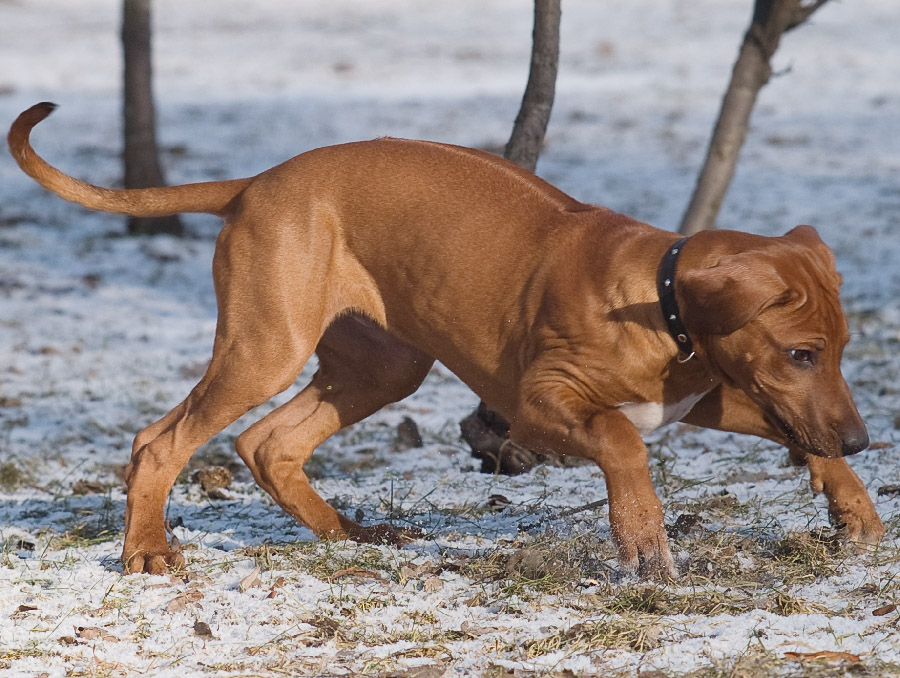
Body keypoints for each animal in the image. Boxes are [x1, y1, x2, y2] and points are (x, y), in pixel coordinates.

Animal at [7, 103, 884, 576]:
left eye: (837, 352)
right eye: (800, 352)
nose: (861, 439)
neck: (661, 295)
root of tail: (255, 183)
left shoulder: (701, 396)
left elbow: (786, 427)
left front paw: (850, 504)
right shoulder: (540, 405)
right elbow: (621, 443)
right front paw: (642, 540)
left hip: (382, 365)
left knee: (268, 443)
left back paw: (354, 534)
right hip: (267, 347)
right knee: (161, 440)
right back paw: (147, 551)